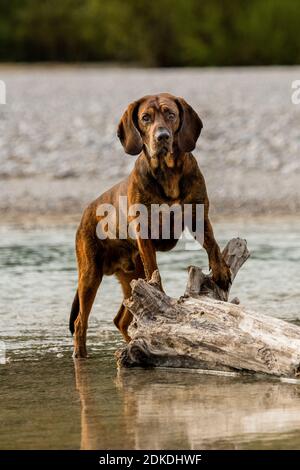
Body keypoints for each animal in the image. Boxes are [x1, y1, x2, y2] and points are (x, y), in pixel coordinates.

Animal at [69, 92, 231, 356]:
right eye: (145, 118)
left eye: (170, 114)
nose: (162, 136)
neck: (168, 171)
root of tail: (86, 212)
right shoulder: (144, 234)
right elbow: (155, 270)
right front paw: (162, 299)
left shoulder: (198, 215)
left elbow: (213, 244)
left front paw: (221, 270)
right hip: (90, 275)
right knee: (80, 321)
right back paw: (82, 355)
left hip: (130, 278)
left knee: (121, 320)